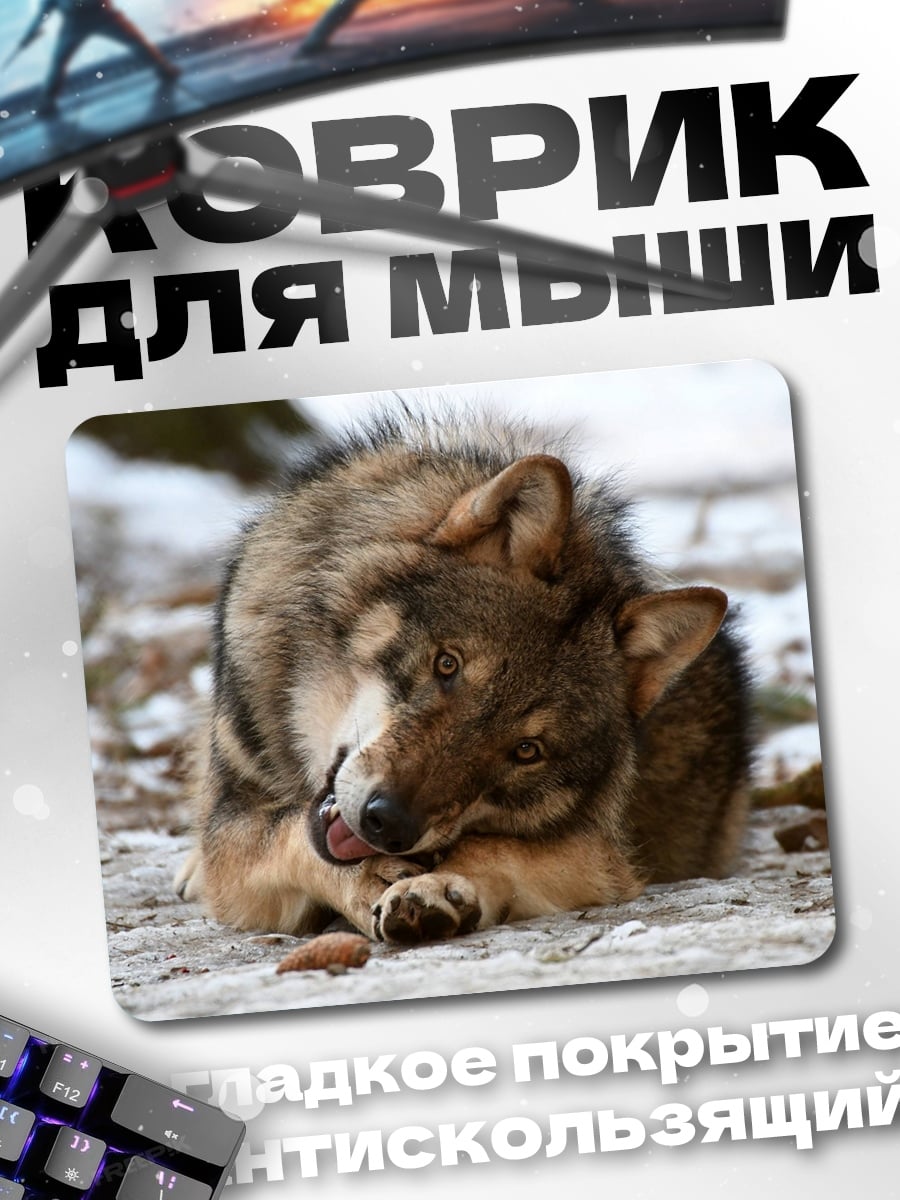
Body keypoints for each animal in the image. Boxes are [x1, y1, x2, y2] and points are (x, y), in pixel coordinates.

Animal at [175, 409, 753, 944]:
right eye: (447, 664)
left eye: (526, 751)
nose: (390, 824)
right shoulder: (234, 834)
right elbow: (286, 834)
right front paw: (371, 879)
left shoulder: (599, 855)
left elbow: (492, 847)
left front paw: (434, 887)